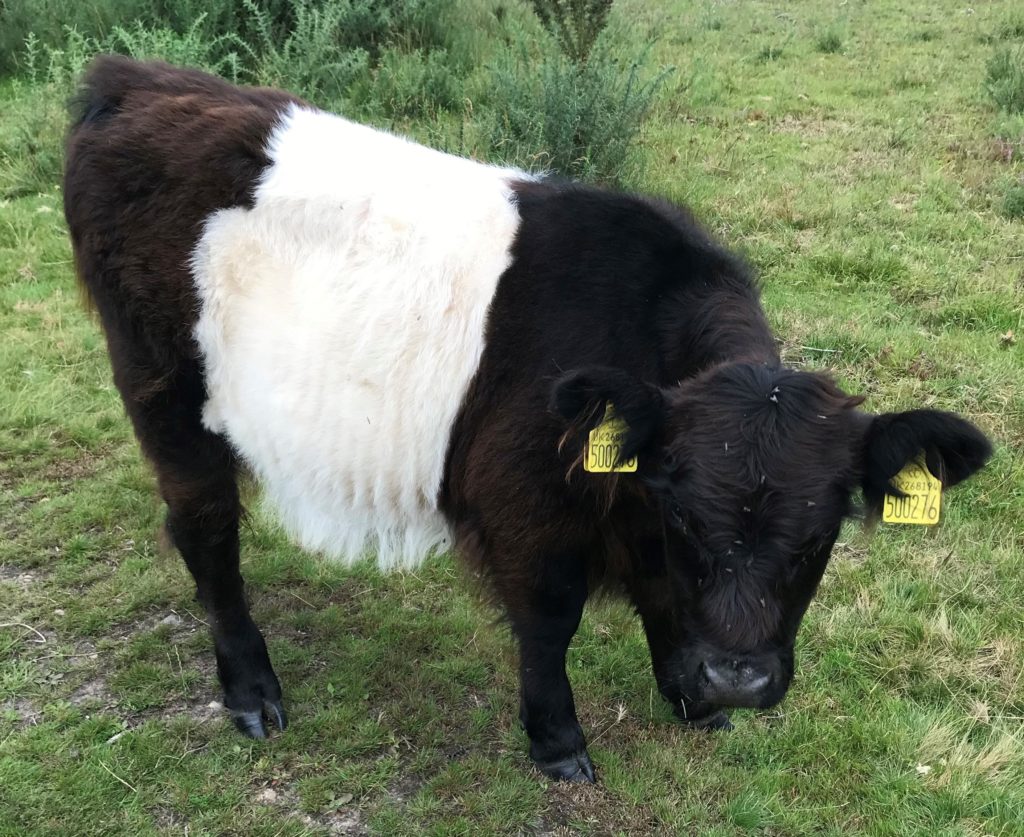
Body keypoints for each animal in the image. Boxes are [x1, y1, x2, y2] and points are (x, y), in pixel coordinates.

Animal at [64, 58, 991, 782]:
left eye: (819, 535)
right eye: (691, 520)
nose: (737, 677)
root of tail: (135, 79)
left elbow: (661, 598)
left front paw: (693, 700)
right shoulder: (528, 506)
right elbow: (550, 621)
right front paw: (558, 740)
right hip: (166, 394)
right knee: (206, 531)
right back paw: (253, 693)